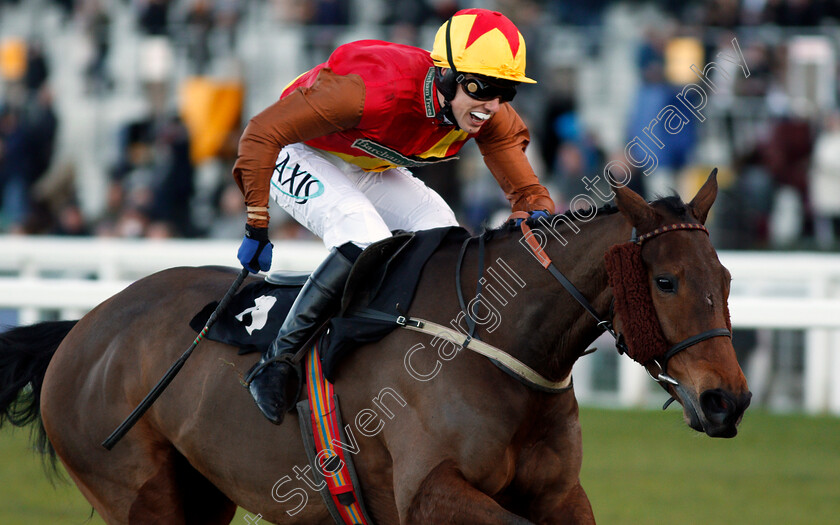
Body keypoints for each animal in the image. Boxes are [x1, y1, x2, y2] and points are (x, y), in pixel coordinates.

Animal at [0, 171, 748, 520]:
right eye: (666, 279)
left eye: (726, 278)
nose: (729, 400)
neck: (494, 342)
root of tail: (80, 330)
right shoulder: (429, 493)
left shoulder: (561, 494)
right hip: (135, 490)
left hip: (201, 491)